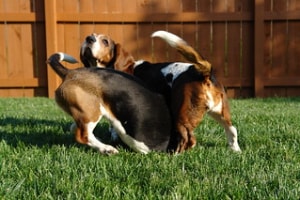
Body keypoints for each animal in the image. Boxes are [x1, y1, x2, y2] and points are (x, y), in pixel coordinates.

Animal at [79, 29, 241, 152]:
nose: (88, 38)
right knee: (232, 130)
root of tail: (204, 73)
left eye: (105, 42)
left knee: (189, 139)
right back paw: (235, 150)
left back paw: (175, 154)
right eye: (91, 36)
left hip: (182, 114)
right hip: (219, 112)